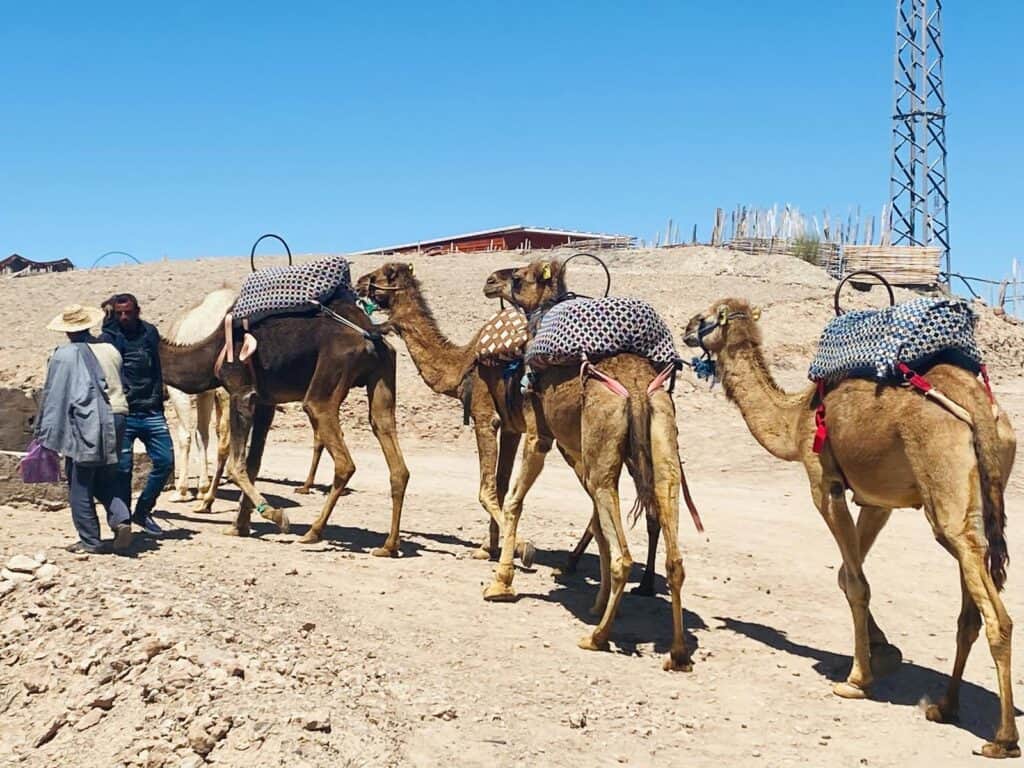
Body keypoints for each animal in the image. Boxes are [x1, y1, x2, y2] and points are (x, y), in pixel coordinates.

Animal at [159, 295, 410, 553]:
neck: (209, 354)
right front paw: (239, 526)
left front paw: (275, 515)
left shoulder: (241, 391)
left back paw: (313, 532)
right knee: (392, 452)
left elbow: (235, 465)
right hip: (382, 378)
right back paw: (389, 546)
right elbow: (252, 464)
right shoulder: (265, 402)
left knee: (344, 462)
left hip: (326, 384)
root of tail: (371, 335)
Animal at [354, 263, 535, 565]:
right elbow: (499, 485)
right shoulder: (511, 427)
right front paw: (488, 549)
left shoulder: (485, 416)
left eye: (379, 274)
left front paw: (522, 546)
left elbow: (486, 490)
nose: (357, 282)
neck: (462, 365)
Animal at [480, 259, 691, 671]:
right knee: (673, 552)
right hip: (662, 447)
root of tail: (638, 390)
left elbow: (514, 502)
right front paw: (597, 602)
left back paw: (597, 637)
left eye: (519, 278)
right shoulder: (577, 449)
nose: (491, 280)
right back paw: (676, 653)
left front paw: (500, 582)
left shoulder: (540, 437)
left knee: (625, 555)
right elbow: (596, 522)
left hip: (603, 454)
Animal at [683, 298, 1018, 758]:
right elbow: (848, 572)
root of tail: (979, 405)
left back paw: (1002, 738)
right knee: (972, 595)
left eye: (707, 317)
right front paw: (884, 650)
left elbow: (856, 583)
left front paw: (858, 680)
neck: (795, 419)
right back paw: (945, 707)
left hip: (945, 493)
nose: (685, 328)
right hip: (980, 497)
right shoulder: (877, 501)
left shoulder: (824, 483)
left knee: (995, 614)